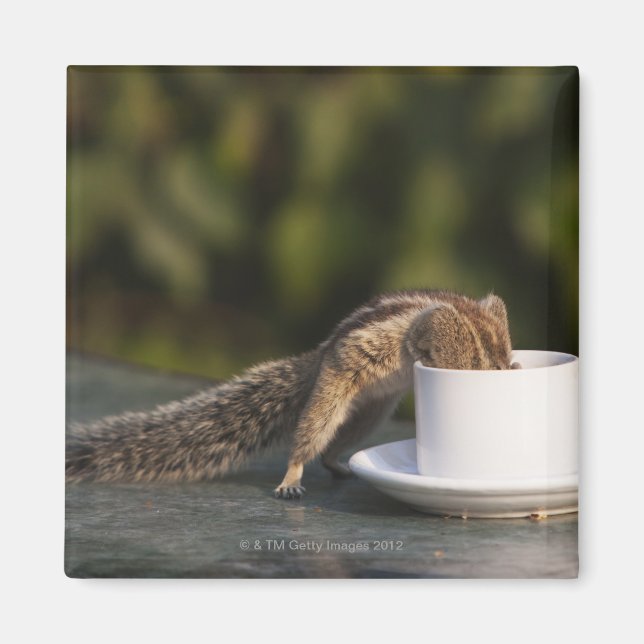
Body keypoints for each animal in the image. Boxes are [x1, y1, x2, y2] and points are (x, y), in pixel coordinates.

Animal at [66, 289, 520, 498]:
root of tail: (318, 359)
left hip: (370, 412)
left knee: (336, 444)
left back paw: (337, 464)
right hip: (334, 391)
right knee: (310, 436)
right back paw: (292, 476)